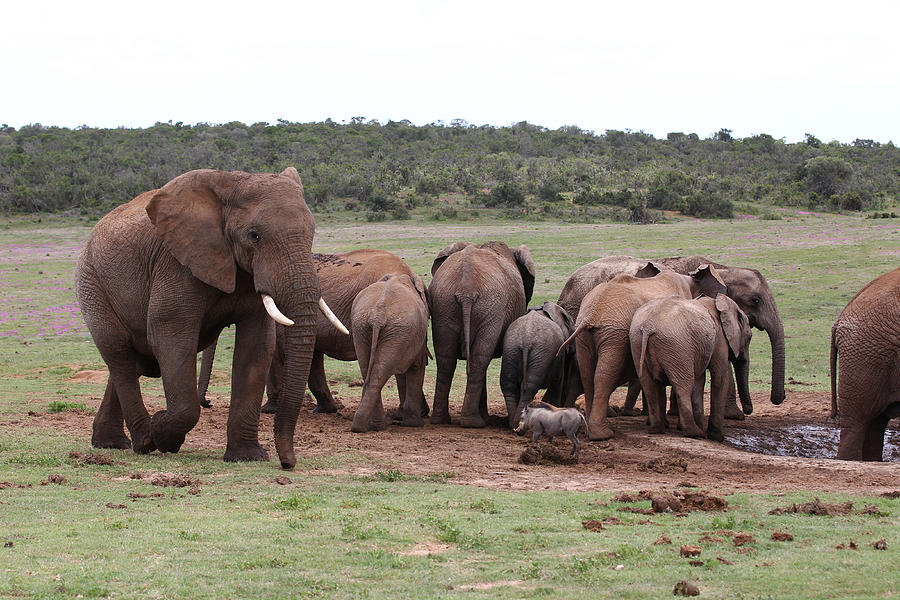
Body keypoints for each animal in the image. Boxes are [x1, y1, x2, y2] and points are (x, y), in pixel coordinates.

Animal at [76, 168, 348, 468]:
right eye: (254, 235)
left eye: (312, 232)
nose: (288, 462)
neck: (233, 182)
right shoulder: (175, 262)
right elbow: (170, 338)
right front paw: (163, 434)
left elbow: (256, 346)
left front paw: (246, 457)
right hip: (91, 284)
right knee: (119, 355)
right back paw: (144, 441)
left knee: (132, 361)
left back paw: (112, 443)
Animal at [350, 274, 430, 434]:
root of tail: (377, 314)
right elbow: (417, 366)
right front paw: (414, 424)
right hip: (396, 330)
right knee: (378, 374)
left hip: (363, 329)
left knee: (370, 372)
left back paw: (364, 427)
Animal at [428, 240, 536, 426]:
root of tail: (466, 291)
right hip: (491, 309)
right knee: (480, 359)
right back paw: (474, 422)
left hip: (443, 305)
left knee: (446, 360)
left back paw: (441, 420)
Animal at [632, 296, 752, 440]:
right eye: (750, 337)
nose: (748, 411)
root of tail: (648, 326)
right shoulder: (720, 339)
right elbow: (720, 378)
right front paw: (717, 437)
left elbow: (700, 380)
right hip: (677, 346)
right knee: (683, 387)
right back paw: (694, 433)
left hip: (637, 342)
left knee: (649, 385)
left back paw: (657, 429)